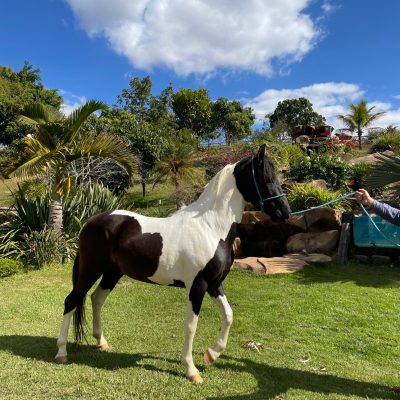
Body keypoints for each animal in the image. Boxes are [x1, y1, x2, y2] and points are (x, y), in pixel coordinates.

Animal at [54, 145, 290, 382]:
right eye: (266, 177)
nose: (285, 212)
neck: (210, 227)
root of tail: (90, 222)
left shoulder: (214, 284)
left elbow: (228, 315)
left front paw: (211, 355)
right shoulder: (198, 285)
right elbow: (191, 326)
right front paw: (192, 370)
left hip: (112, 273)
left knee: (96, 299)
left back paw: (101, 342)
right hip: (91, 270)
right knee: (71, 300)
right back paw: (61, 352)